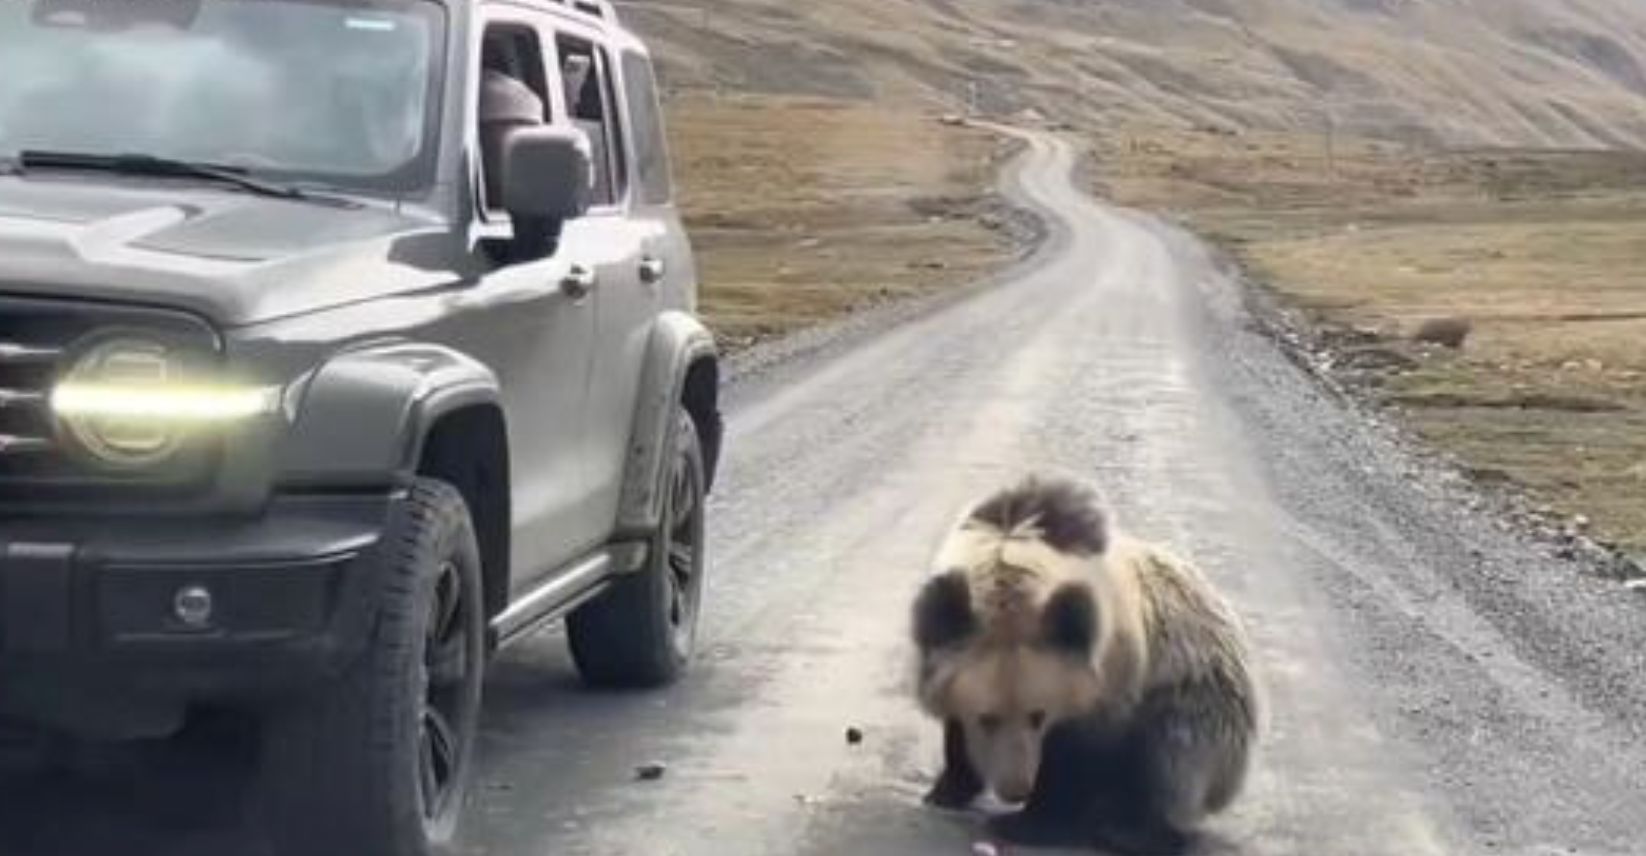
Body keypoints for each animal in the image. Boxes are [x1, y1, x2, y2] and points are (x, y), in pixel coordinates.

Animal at [915, 477, 1257, 849]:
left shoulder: (1110, 669)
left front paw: (1031, 823)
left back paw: (1127, 826)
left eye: (1038, 715)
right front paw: (948, 789)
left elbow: (1077, 755)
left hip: (1198, 694)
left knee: (1170, 759)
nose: (1016, 789)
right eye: (987, 718)